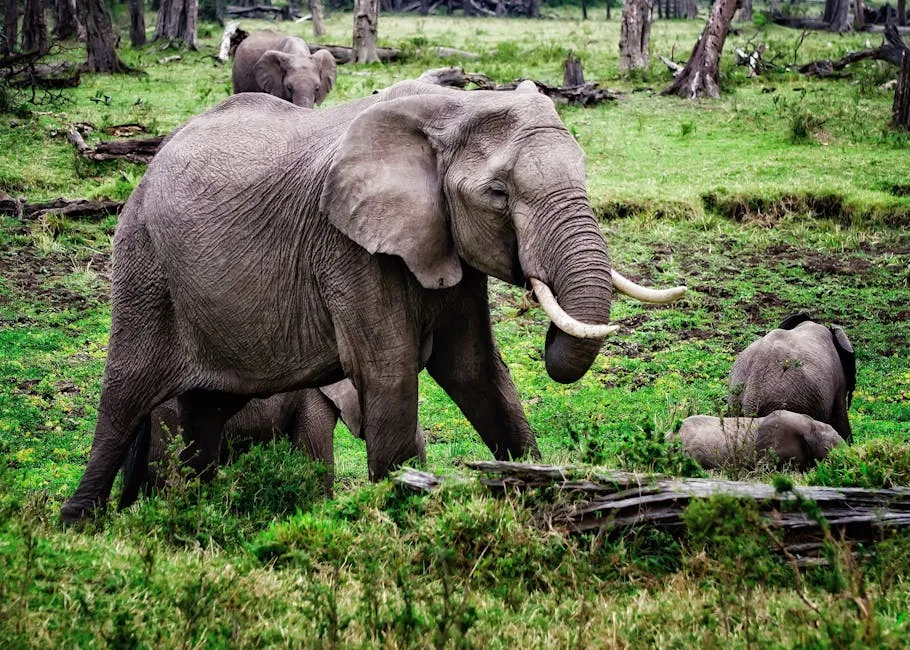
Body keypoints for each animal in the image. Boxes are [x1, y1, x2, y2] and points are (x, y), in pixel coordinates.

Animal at [60, 80, 686, 522]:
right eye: (498, 195)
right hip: (144, 266)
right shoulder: (350, 249)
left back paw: (195, 512)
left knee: (205, 410)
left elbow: (476, 371)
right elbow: (389, 372)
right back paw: (81, 525)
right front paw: (403, 510)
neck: (451, 110)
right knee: (124, 399)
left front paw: (535, 485)